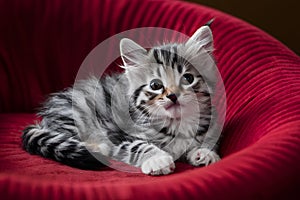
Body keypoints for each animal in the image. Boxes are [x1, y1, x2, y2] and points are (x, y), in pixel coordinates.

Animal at [21, 24, 220, 176]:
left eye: (188, 78)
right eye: (155, 85)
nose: (173, 95)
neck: (177, 123)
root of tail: (44, 118)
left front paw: (205, 152)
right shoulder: (118, 135)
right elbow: (139, 145)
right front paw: (158, 159)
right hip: (75, 113)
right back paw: (97, 148)